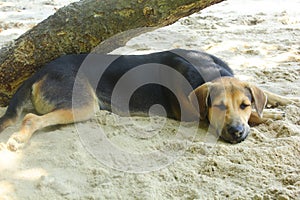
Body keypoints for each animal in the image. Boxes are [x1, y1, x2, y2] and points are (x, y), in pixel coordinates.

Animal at [0, 49, 296, 151]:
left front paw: (284, 101)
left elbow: (266, 93)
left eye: (244, 105)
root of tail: (40, 72)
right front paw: (269, 115)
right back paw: (18, 138)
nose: (236, 133)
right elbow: (260, 114)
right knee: (30, 118)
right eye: (218, 107)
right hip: (83, 104)